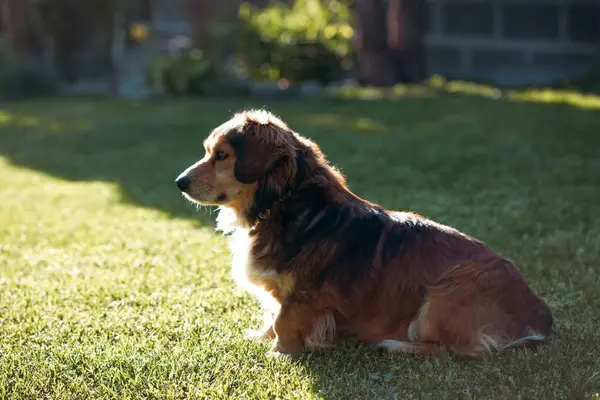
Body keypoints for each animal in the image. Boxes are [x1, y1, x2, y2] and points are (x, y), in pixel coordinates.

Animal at [175, 109, 552, 360]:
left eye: (222, 156)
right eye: (208, 152)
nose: (179, 182)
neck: (284, 203)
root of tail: (539, 313)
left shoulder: (304, 294)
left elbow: (284, 320)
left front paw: (280, 353)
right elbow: (272, 314)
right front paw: (261, 336)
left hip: (442, 298)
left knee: (452, 350)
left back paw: (399, 345)